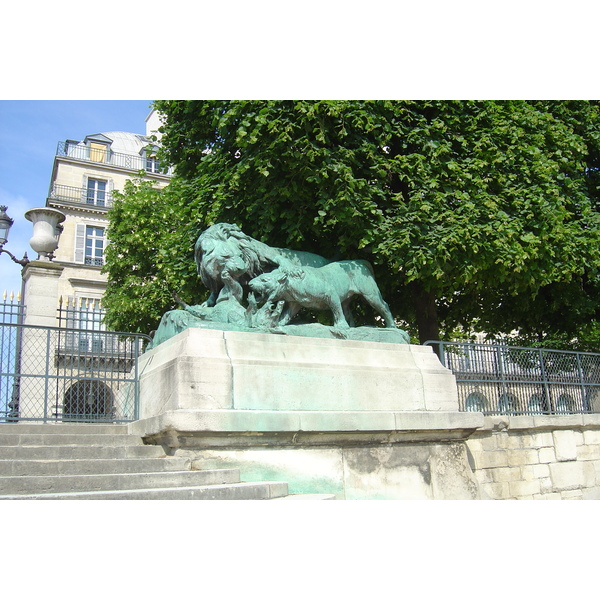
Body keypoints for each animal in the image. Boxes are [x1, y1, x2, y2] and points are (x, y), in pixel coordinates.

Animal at [196, 223, 328, 308]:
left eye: (240, 254)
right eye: (226, 256)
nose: (241, 268)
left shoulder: (264, 253)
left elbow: (279, 258)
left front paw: (293, 269)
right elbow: (216, 291)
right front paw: (207, 303)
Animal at [246, 260, 396, 330]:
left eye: (264, 279)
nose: (250, 283)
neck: (291, 285)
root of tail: (360, 262)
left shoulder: (330, 294)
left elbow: (336, 310)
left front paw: (341, 326)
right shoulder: (295, 303)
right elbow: (286, 314)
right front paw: (279, 323)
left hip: (370, 294)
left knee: (384, 306)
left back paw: (391, 327)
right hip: (348, 300)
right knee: (347, 311)